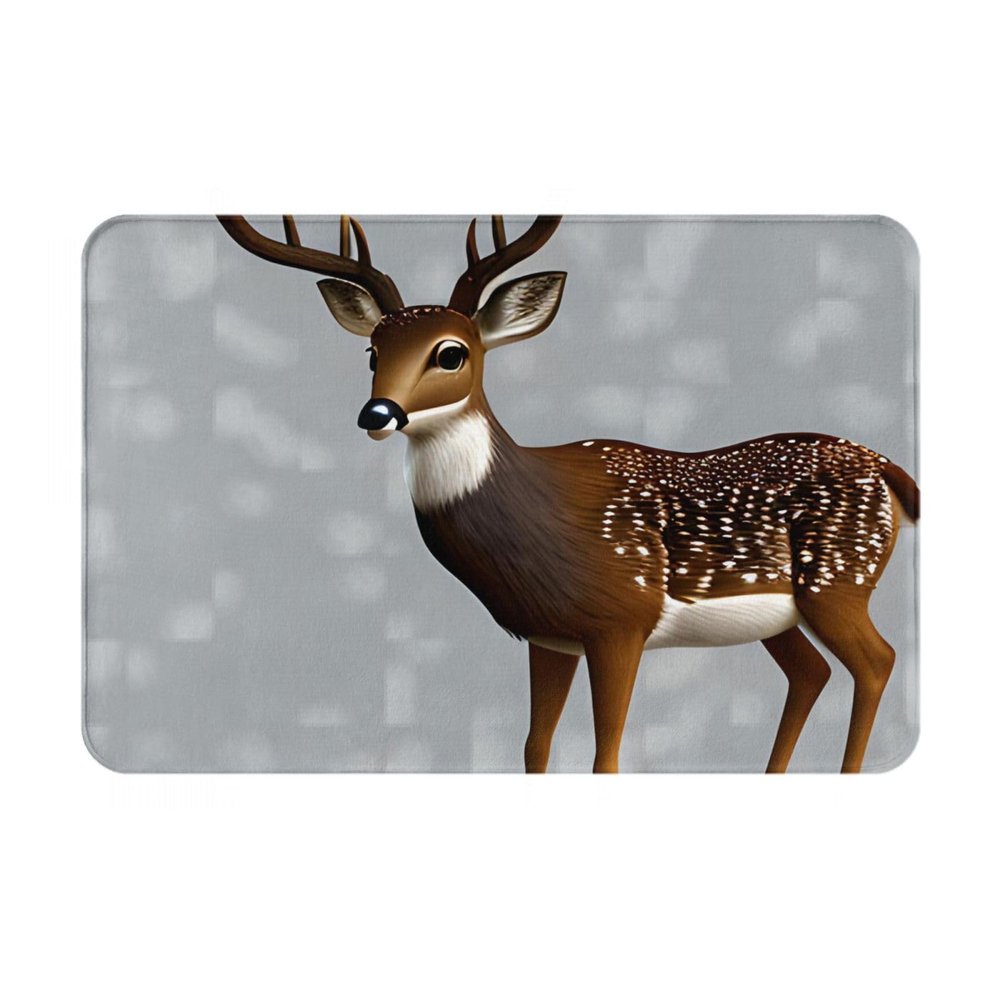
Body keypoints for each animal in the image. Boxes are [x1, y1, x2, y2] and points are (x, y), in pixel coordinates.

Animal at [218, 214, 919, 774]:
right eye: (371, 351)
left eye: (451, 353)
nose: (377, 414)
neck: (539, 521)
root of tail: (892, 471)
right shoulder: (548, 635)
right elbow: (535, 745)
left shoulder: (622, 618)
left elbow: (606, 751)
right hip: (781, 611)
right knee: (812, 672)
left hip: (839, 576)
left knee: (876, 661)